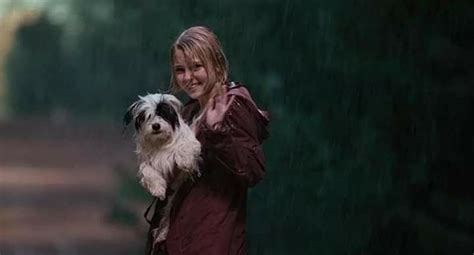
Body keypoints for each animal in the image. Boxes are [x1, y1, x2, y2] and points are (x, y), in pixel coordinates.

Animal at [123, 93, 201, 243]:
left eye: (163, 113)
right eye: (146, 116)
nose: (156, 126)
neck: (160, 141)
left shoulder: (189, 142)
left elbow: (185, 146)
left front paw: (185, 160)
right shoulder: (146, 161)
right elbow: (147, 171)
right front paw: (158, 188)